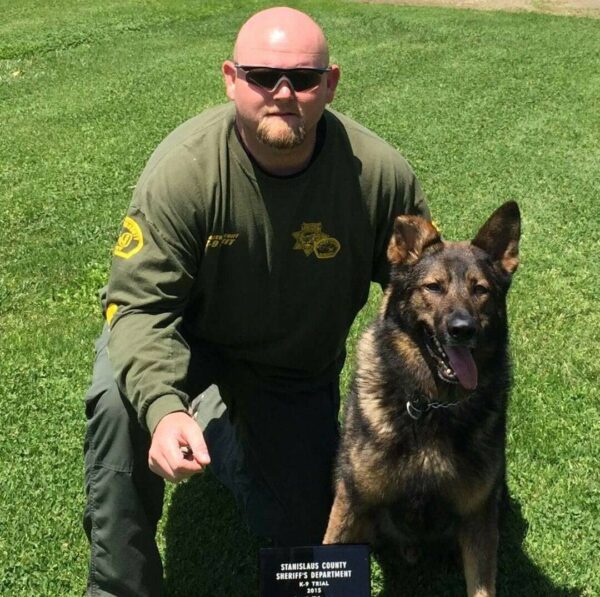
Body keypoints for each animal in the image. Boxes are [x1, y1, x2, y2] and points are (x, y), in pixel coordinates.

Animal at [324, 201, 520, 596]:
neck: (432, 404)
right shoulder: (351, 500)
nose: (462, 330)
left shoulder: (477, 517)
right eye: (434, 287)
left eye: (481, 290)